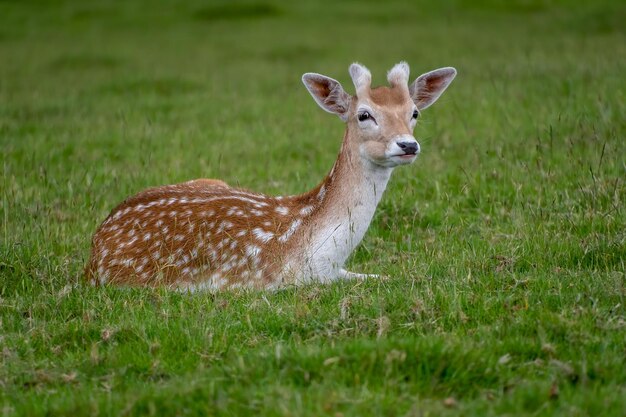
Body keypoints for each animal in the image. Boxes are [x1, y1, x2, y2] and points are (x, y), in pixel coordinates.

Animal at [85, 61, 454, 290]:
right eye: (364, 115)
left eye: (414, 112)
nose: (408, 145)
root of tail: (92, 252)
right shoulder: (259, 280)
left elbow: (389, 277)